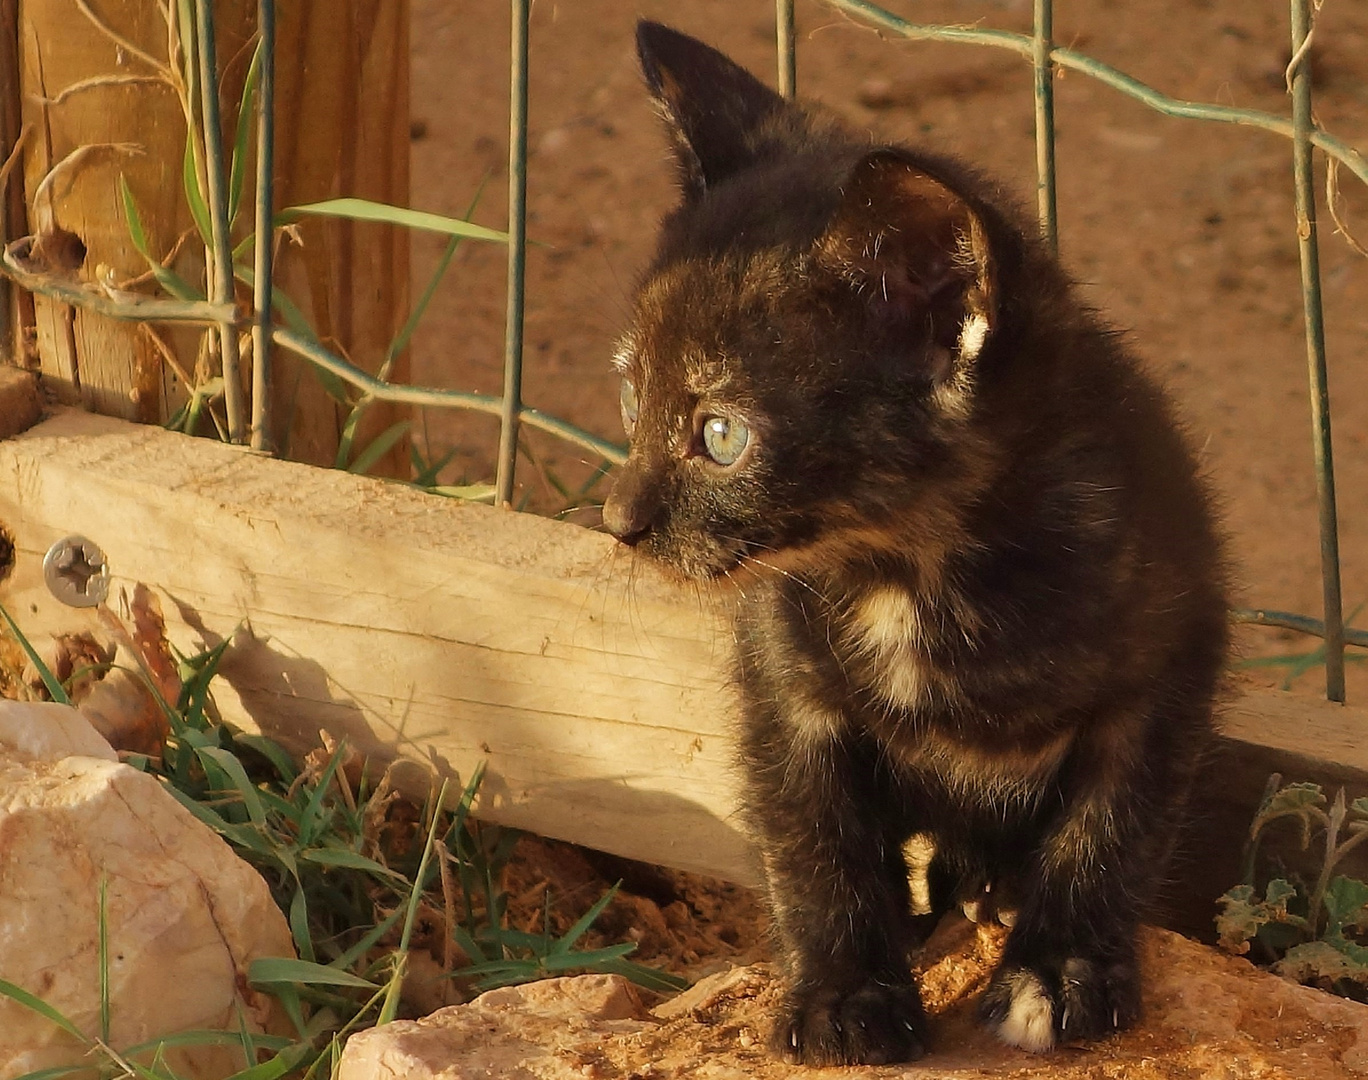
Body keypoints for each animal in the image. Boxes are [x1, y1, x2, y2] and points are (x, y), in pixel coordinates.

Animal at [604, 21, 1225, 1067]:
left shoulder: (1165, 668)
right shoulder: (787, 688)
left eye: (721, 434)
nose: (619, 522)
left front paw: (1058, 973)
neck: (915, 567)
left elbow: (1110, 830)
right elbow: (814, 842)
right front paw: (843, 993)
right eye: (630, 395)